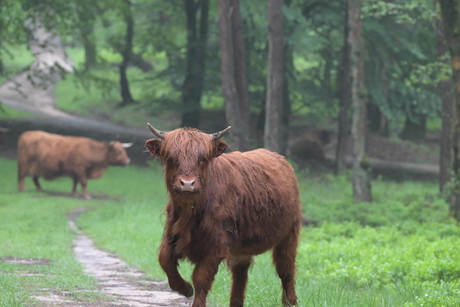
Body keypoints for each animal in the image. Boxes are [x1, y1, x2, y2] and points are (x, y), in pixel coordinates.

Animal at [145, 124, 302, 307]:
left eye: (203, 158)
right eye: (170, 157)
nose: (187, 184)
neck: (190, 212)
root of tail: (279, 157)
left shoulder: (216, 244)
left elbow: (201, 278)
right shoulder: (173, 233)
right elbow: (164, 260)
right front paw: (185, 288)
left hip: (289, 235)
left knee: (286, 270)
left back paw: (291, 302)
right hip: (242, 245)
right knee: (240, 273)